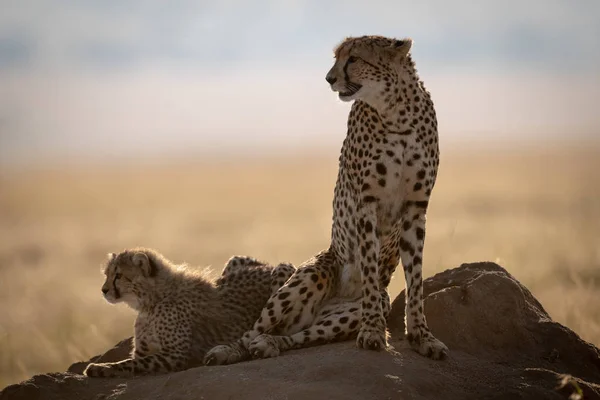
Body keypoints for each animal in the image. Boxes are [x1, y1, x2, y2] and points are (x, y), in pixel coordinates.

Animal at [84, 248, 296, 376]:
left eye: (118, 275)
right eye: (107, 274)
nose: (104, 290)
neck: (151, 301)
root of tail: (268, 265)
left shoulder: (174, 356)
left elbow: (130, 364)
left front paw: (100, 367)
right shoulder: (142, 351)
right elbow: (131, 360)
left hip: (283, 270)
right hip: (236, 259)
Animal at [205, 35, 446, 366]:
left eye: (354, 58)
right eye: (337, 57)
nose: (329, 78)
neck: (396, 112)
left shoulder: (415, 207)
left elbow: (416, 277)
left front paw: (422, 337)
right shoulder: (366, 203)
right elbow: (369, 267)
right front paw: (373, 331)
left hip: (340, 316)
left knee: (298, 336)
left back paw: (270, 344)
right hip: (308, 275)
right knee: (253, 330)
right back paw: (229, 350)